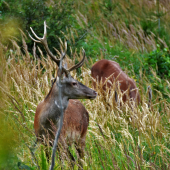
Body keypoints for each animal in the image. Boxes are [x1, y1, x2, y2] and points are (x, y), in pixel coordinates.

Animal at [28, 21, 97, 166]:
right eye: (74, 83)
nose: (94, 92)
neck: (46, 124)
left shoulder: (61, 140)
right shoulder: (42, 141)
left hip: (82, 135)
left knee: (80, 160)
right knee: (74, 160)